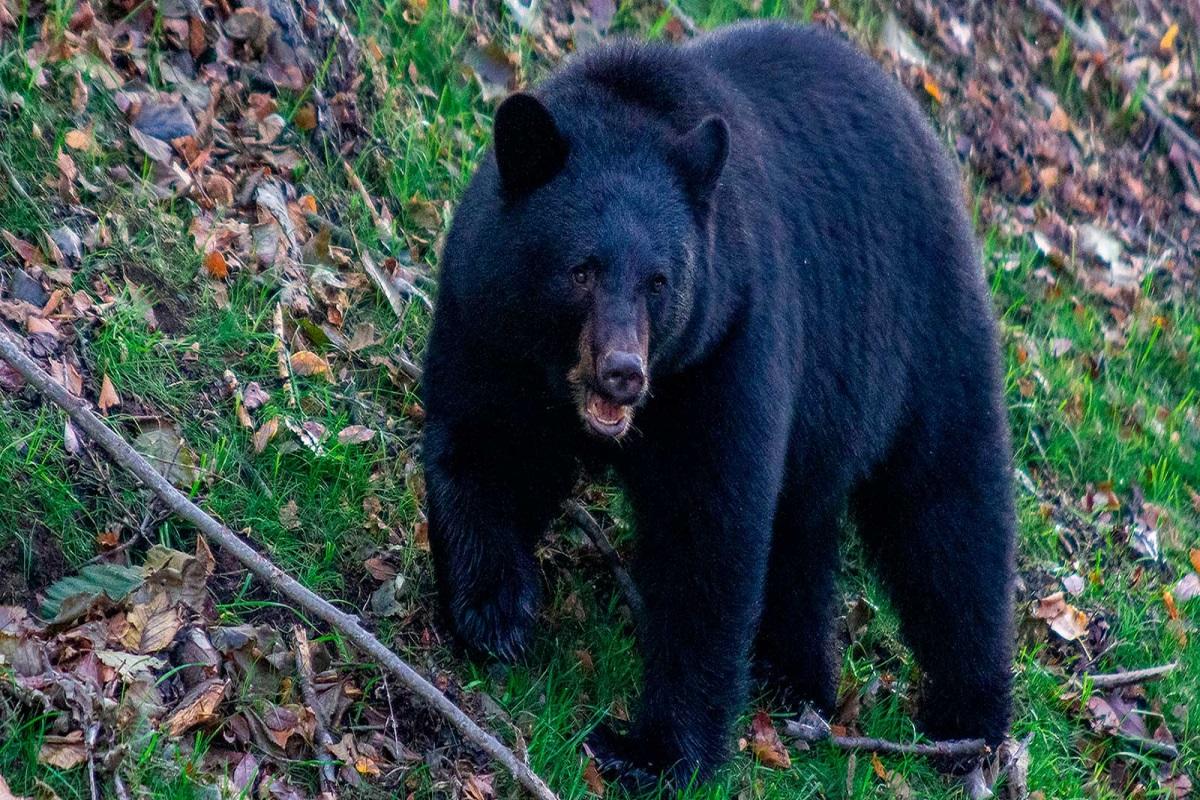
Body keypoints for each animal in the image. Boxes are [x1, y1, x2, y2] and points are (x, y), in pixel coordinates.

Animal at [422, 18, 1012, 786]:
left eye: (659, 281)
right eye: (581, 270)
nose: (623, 374)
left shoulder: (727, 343)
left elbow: (707, 532)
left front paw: (653, 752)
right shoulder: (489, 321)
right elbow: (484, 445)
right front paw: (494, 613)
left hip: (925, 343)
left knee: (948, 517)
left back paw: (968, 723)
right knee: (803, 530)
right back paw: (792, 676)